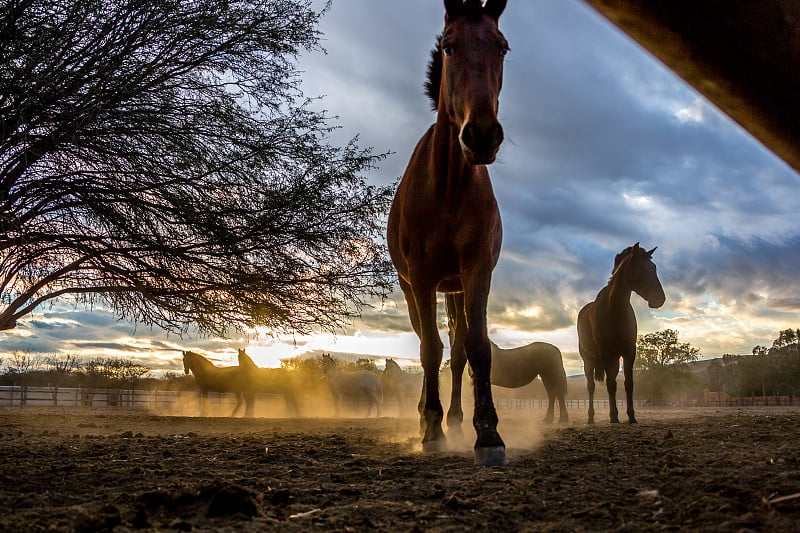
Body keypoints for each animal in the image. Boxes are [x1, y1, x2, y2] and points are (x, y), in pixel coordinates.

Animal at [384, 0, 510, 466]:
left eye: (502, 48)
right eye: (450, 46)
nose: (482, 135)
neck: (450, 187)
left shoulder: (476, 272)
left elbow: (476, 347)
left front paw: (487, 432)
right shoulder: (420, 278)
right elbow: (429, 350)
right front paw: (431, 428)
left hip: (454, 290)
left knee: (456, 353)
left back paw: (456, 418)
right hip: (414, 289)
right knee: (428, 342)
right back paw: (427, 414)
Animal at [580, 242, 664, 424]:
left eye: (654, 267)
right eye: (638, 268)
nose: (659, 299)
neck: (615, 309)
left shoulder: (629, 352)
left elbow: (628, 384)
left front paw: (631, 416)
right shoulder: (605, 352)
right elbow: (611, 385)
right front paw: (614, 417)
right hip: (588, 359)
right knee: (591, 387)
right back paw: (590, 418)